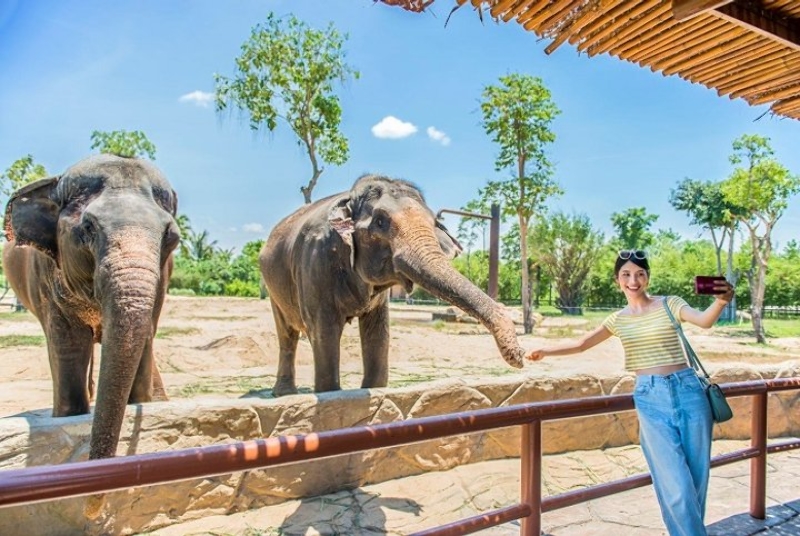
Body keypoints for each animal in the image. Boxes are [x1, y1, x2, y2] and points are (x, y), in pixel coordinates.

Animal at [2, 153, 180, 458]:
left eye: (172, 237)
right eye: (88, 228)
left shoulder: (163, 278)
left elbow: (145, 336)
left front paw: (143, 401)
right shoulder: (45, 280)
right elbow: (69, 344)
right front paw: (70, 414)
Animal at [260, 174, 528, 396]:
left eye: (434, 223)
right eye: (380, 222)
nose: (521, 356)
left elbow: (378, 334)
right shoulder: (316, 263)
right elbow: (324, 332)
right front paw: (330, 395)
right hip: (273, 286)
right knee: (287, 334)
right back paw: (284, 394)